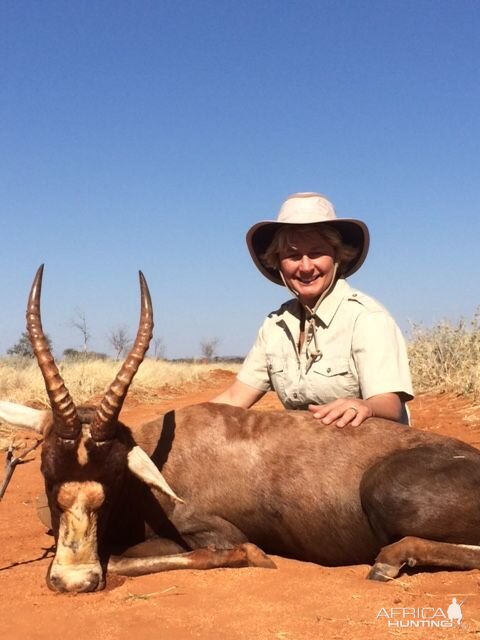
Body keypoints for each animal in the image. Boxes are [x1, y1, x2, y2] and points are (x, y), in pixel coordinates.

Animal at [0, 268, 480, 592]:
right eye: (46, 471)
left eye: (116, 476)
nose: (74, 580)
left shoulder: (217, 534)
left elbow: (121, 559)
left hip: (385, 490)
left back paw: (390, 560)